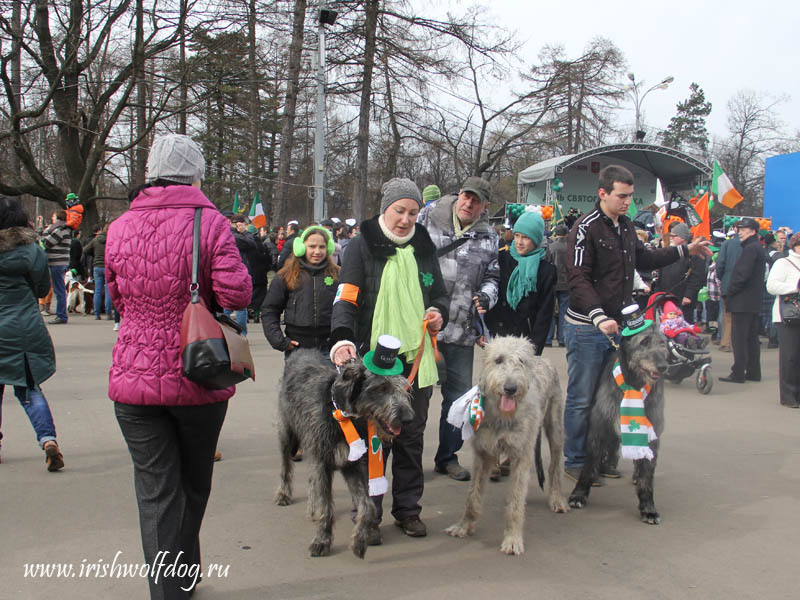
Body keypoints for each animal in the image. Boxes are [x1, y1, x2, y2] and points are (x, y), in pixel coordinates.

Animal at [444, 336, 568, 556]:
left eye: (521, 361)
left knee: (555, 465)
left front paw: (512, 540)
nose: (511, 388)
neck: (502, 415)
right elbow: (472, 496)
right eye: (498, 360)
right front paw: (464, 526)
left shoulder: (521, 455)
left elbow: (516, 503)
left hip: (555, 426)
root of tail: (543, 359)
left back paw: (557, 499)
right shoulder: (482, 452)